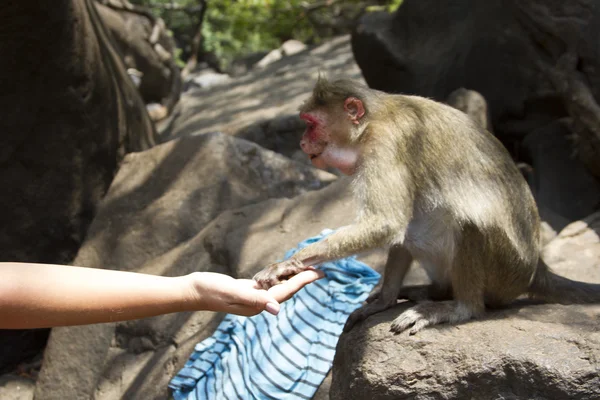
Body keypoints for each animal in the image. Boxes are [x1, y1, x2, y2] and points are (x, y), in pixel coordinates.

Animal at [252, 76, 600, 332]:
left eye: (311, 123)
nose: (301, 142)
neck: (371, 123)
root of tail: (537, 267)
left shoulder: (386, 145)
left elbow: (386, 222)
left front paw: (289, 263)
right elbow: (395, 226)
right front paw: (384, 300)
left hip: (506, 272)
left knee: (469, 223)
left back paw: (459, 308)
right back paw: (429, 292)